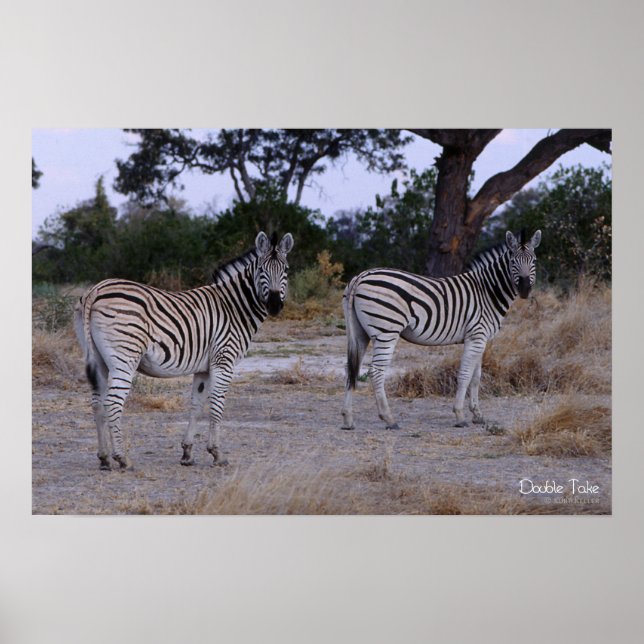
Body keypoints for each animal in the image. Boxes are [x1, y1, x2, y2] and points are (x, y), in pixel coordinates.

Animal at [74, 231, 294, 470]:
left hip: (99, 360)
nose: (274, 305)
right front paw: (217, 454)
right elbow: (217, 404)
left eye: (286, 270)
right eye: (261, 270)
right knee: (113, 403)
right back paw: (122, 458)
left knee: (97, 403)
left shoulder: (204, 367)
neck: (235, 307)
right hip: (125, 357)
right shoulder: (224, 359)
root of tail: (96, 289)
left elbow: (196, 404)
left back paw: (104, 457)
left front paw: (187, 453)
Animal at [341, 229, 541, 430]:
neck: (487, 291)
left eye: (534, 261)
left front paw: (477, 415)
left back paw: (348, 419)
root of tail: (361, 277)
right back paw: (389, 418)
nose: (525, 289)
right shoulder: (476, 336)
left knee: (352, 369)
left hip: (359, 333)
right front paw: (460, 415)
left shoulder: (480, 339)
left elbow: (476, 377)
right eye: (513, 261)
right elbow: (465, 375)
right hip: (386, 331)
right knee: (376, 372)